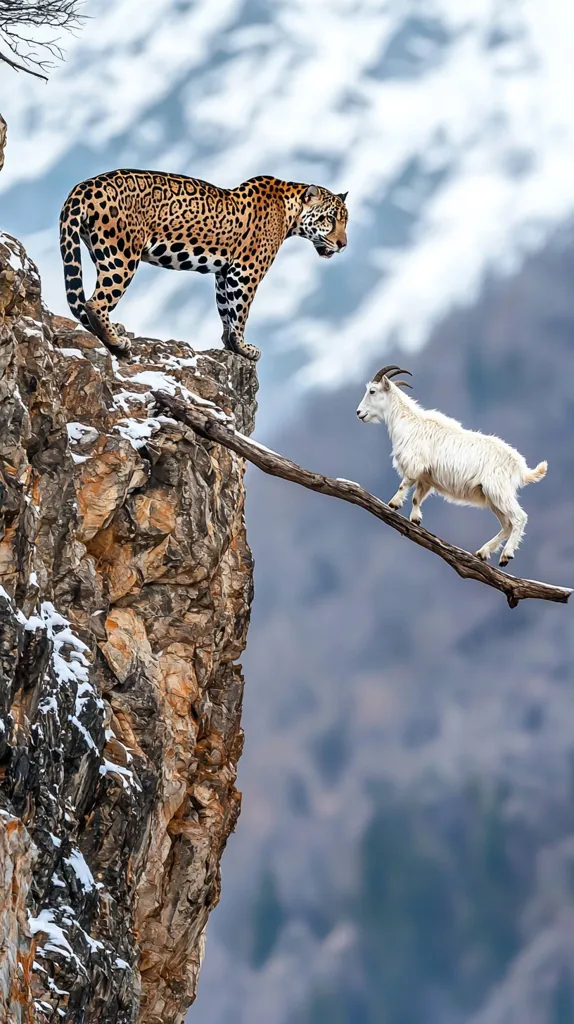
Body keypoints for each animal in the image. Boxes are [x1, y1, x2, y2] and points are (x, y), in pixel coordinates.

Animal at [59, 169, 348, 360]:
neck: (291, 213)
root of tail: (84, 186)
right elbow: (240, 312)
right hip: (122, 256)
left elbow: (226, 311)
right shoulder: (246, 271)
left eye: (345, 220)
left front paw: (230, 344)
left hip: (100, 251)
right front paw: (244, 348)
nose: (343, 244)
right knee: (95, 302)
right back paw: (117, 342)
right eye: (329, 219)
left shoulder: (225, 272)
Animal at [356, 365, 547, 566]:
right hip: (492, 497)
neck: (409, 422)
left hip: (498, 490)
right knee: (507, 524)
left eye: (372, 391)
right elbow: (417, 497)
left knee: (519, 518)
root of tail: (520, 467)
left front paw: (394, 503)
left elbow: (404, 484)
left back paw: (505, 556)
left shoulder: (415, 464)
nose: (359, 413)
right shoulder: (426, 477)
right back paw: (483, 552)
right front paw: (415, 519)